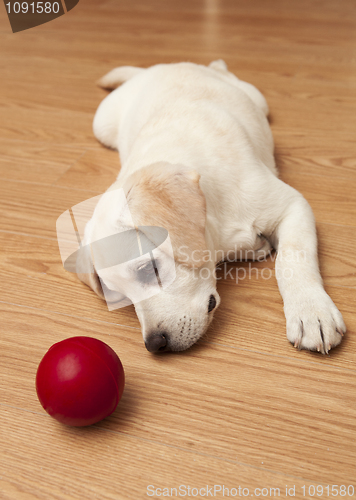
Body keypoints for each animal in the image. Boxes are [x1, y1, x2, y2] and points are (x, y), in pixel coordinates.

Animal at [77, 60, 344, 354]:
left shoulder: (293, 205)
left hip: (256, 99)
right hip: (102, 125)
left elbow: (294, 257)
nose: (155, 345)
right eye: (120, 294)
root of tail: (159, 67)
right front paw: (255, 247)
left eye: (149, 269)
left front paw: (311, 311)